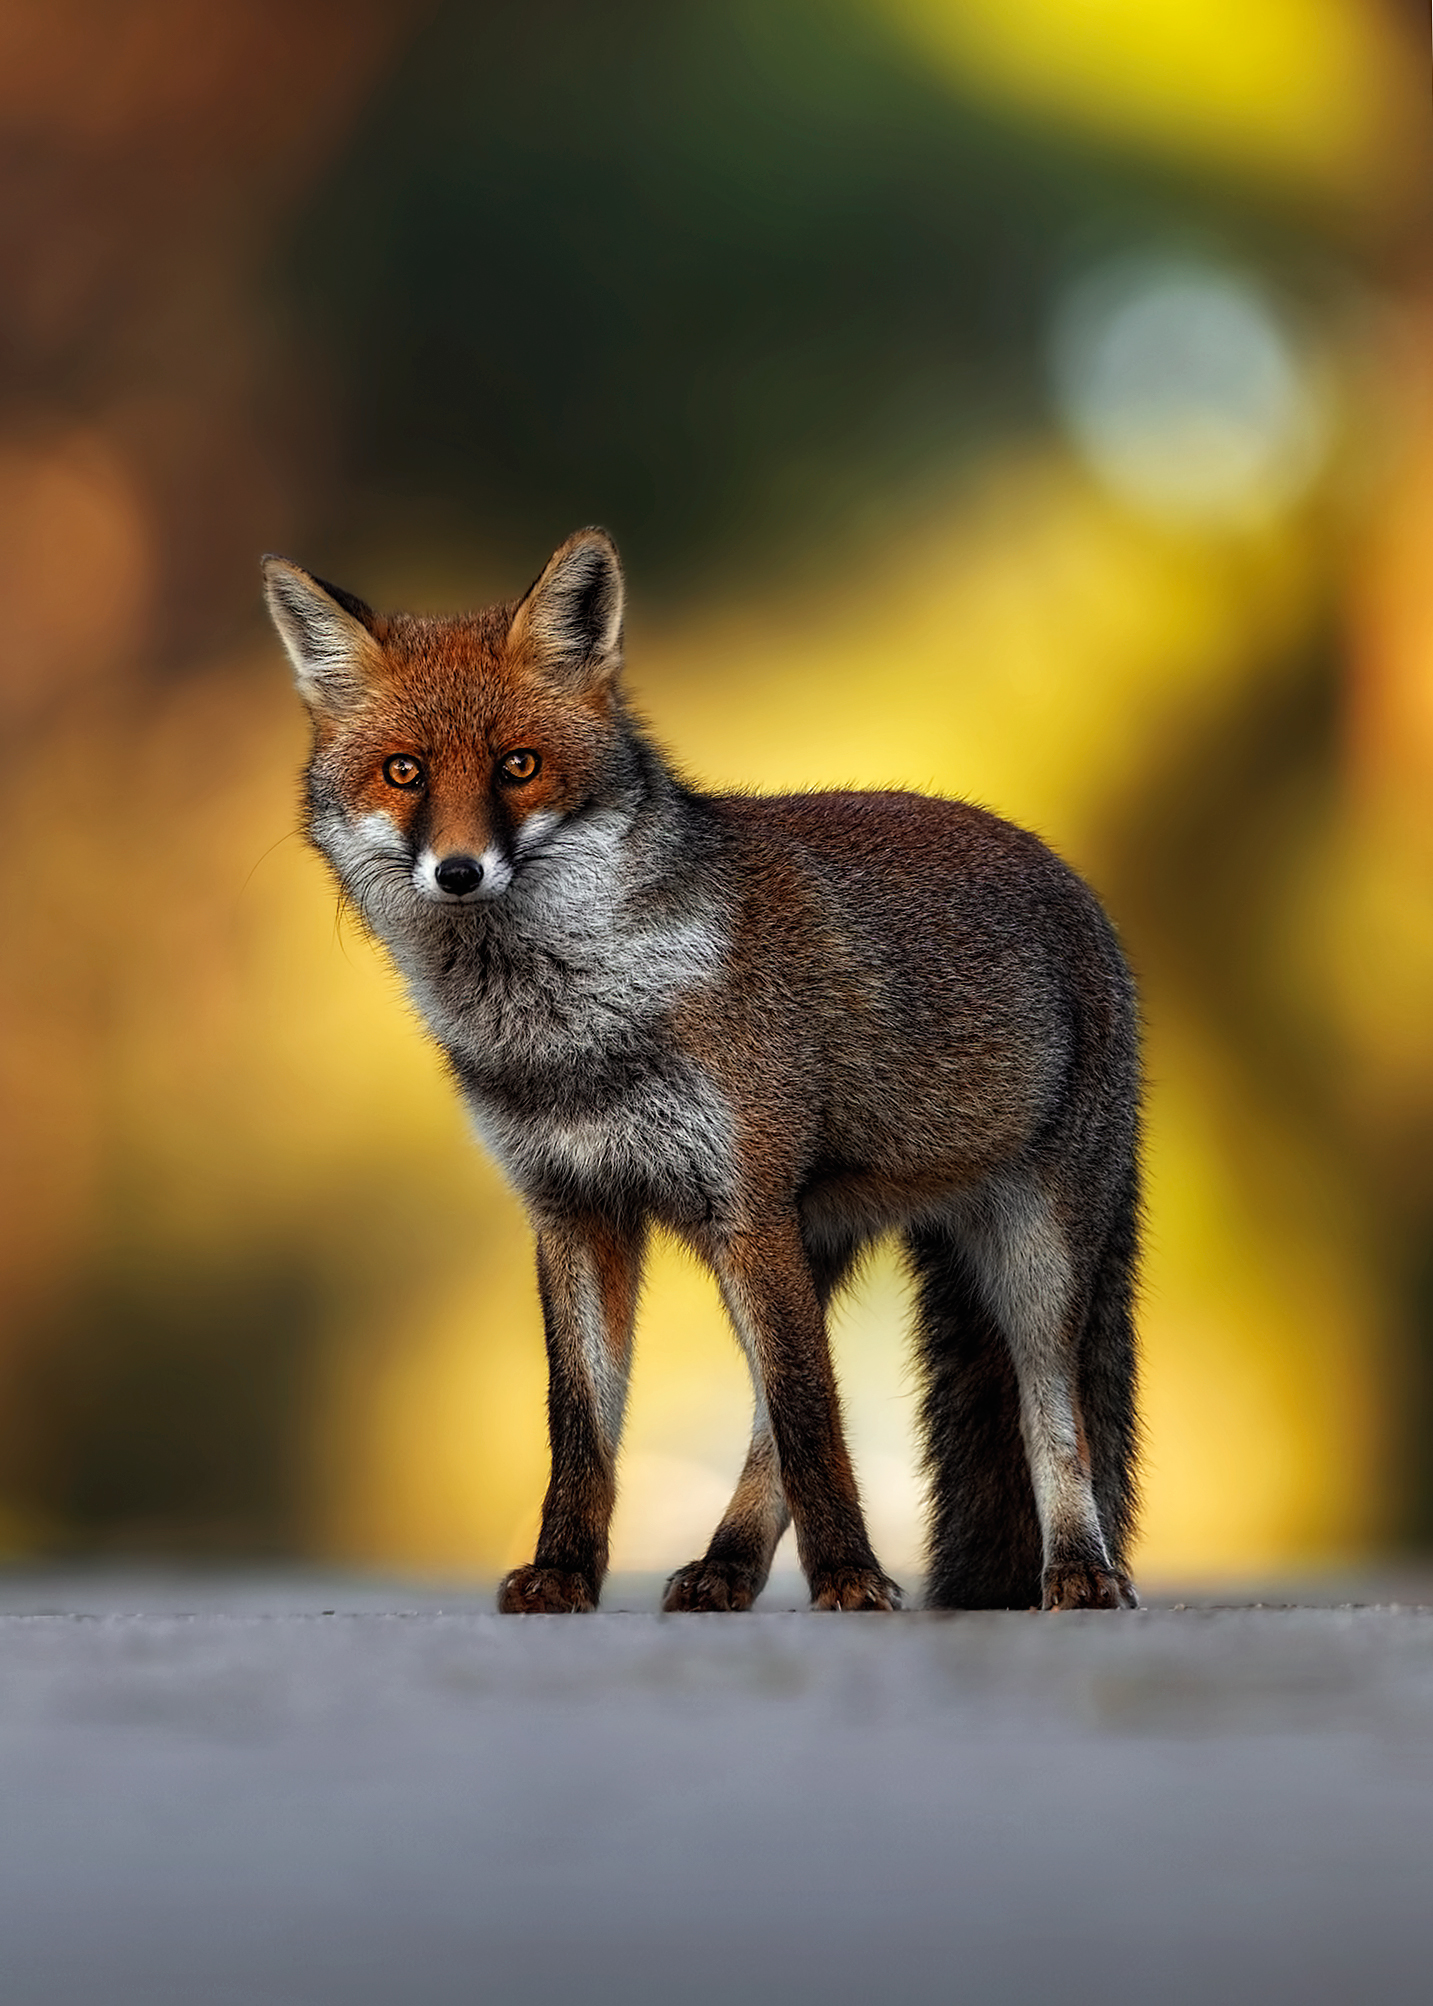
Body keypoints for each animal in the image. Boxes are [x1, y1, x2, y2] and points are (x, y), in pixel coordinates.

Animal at [263, 527, 1141, 1615]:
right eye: (403, 771)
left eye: (518, 766)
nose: (458, 871)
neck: (569, 1037)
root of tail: (1059, 868)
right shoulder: (576, 1212)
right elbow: (583, 1429)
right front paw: (563, 1572)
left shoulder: (744, 1204)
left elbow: (814, 1421)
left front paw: (849, 1578)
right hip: (811, 1242)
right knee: (768, 1419)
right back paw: (724, 1566)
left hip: (1026, 1253)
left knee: (1048, 1416)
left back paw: (1077, 1568)